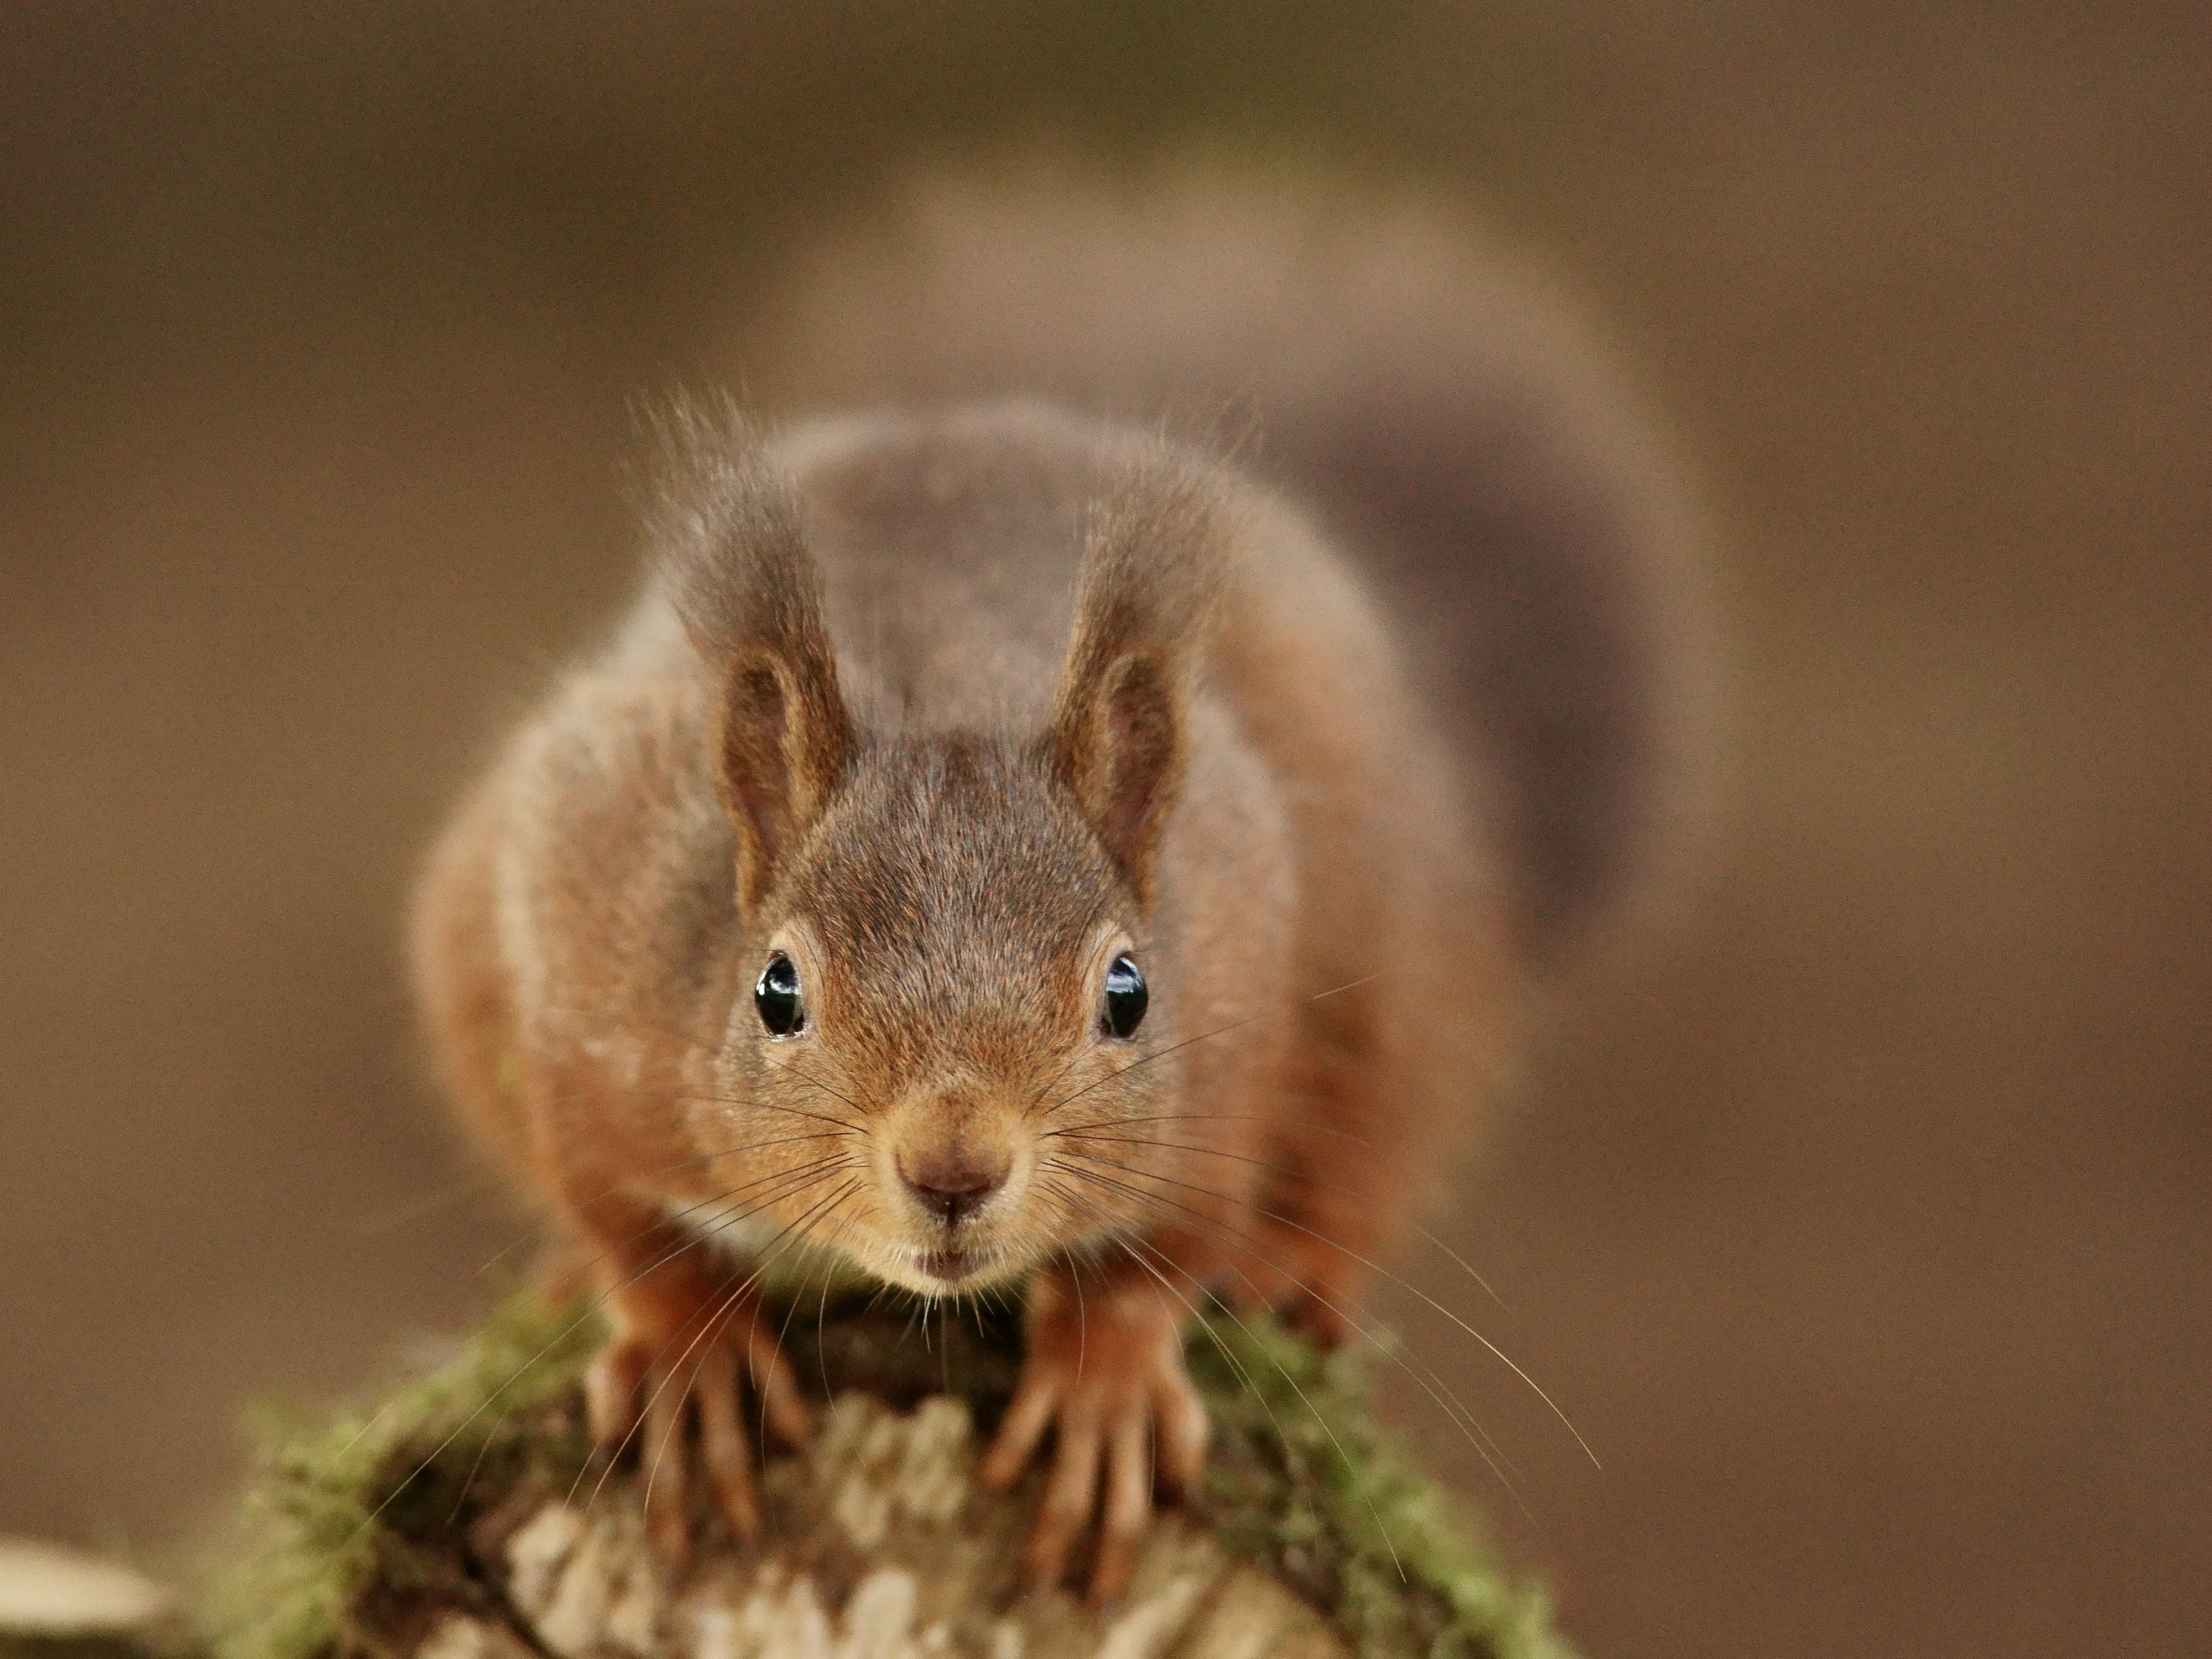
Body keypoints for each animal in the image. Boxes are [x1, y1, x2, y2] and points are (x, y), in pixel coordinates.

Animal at [409, 167, 1704, 1606]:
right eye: (776, 990)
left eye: (1127, 993)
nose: (953, 1167)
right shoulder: (579, 931)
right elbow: (612, 1203)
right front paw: (690, 1351)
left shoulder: (1232, 1002)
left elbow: (1167, 1240)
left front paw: (1106, 1382)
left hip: (1394, 972)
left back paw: (1292, 1273)